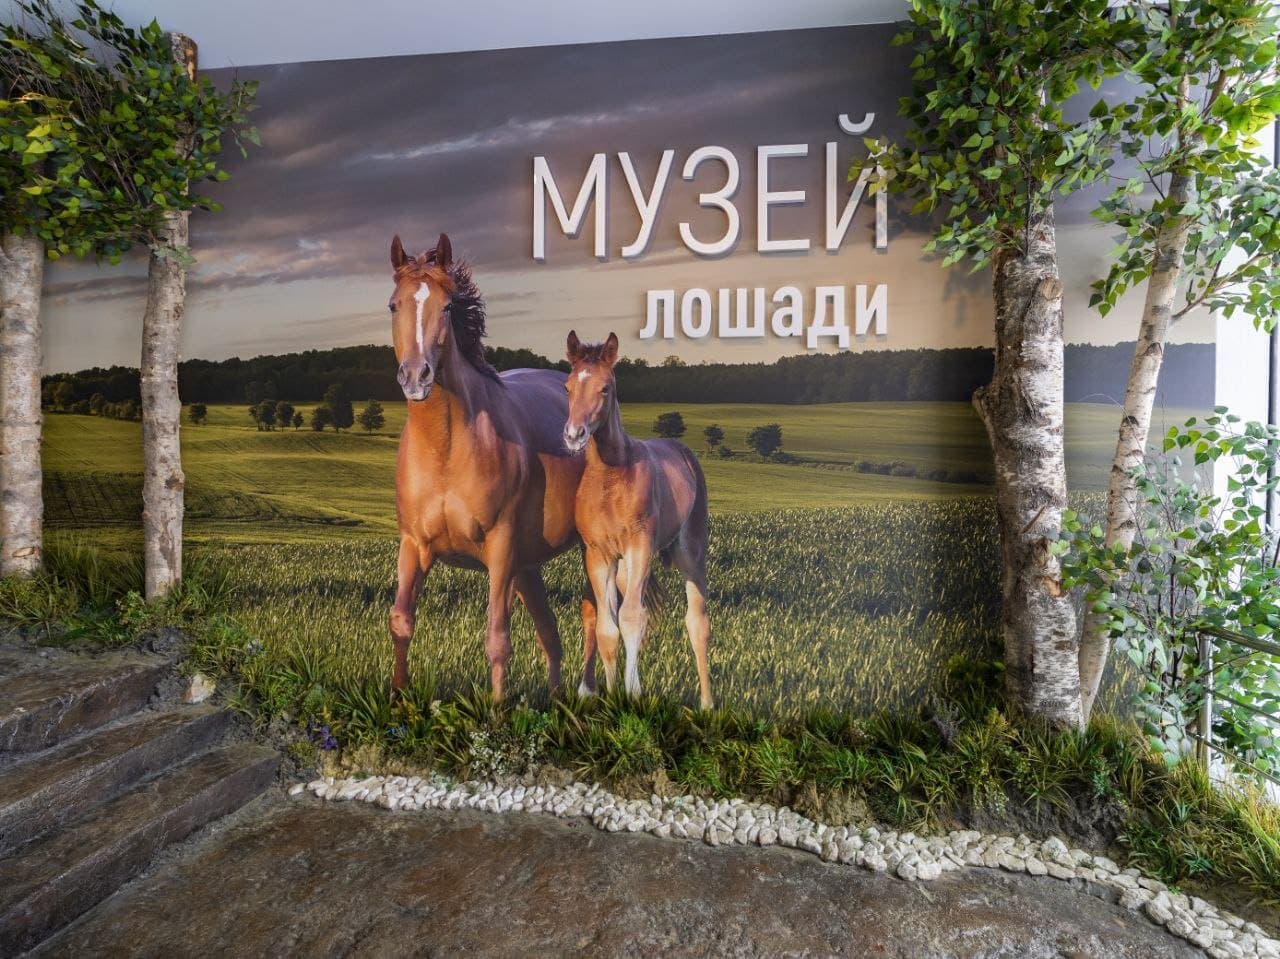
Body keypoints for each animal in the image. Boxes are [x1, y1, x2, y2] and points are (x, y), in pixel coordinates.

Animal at [387, 233, 596, 700]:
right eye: (394, 305)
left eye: (447, 306)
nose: (416, 375)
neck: (445, 450)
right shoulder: (413, 545)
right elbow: (402, 621)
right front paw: (399, 698)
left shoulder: (500, 550)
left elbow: (497, 639)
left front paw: (498, 710)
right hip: (528, 566)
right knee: (550, 633)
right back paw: (556, 699)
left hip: (587, 552)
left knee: (598, 618)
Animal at [562, 331, 714, 709]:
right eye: (567, 386)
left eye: (605, 388)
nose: (574, 434)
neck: (611, 476)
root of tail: (683, 453)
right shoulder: (599, 555)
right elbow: (607, 627)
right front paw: (610, 696)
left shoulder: (639, 547)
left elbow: (632, 618)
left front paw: (632, 695)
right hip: (625, 567)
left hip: (689, 554)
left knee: (697, 622)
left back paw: (707, 704)